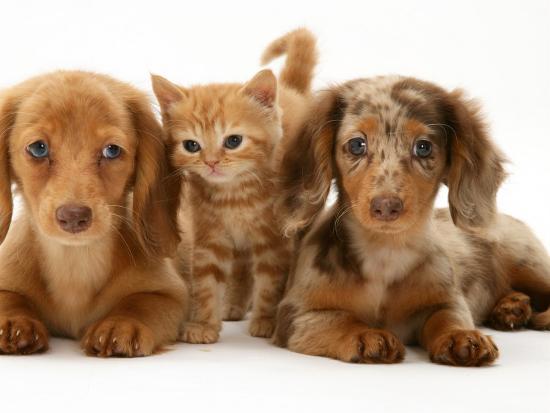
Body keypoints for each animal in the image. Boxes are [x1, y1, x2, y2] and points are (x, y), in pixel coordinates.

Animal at [0, 71, 188, 354]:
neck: (75, 259)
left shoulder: (169, 294)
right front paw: (13, 321)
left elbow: (140, 304)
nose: (74, 216)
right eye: (38, 148)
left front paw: (120, 324)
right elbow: (8, 298)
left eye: (112, 150)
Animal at [153, 26, 322, 342]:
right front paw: (205, 324)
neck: (235, 195)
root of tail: (290, 90)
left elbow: (271, 280)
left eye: (233, 141)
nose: (211, 162)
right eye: (191, 145)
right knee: (242, 266)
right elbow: (207, 281)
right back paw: (233, 305)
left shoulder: (273, 240)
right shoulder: (210, 235)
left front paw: (266, 320)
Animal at [274, 77, 550, 366]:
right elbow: (339, 319)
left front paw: (461, 336)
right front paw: (367, 335)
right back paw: (512, 307)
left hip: (529, 264)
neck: (385, 252)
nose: (386, 207)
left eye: (423, 147)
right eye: (357, 145)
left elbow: (446, 317)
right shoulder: (295, 316)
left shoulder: (447, 300)